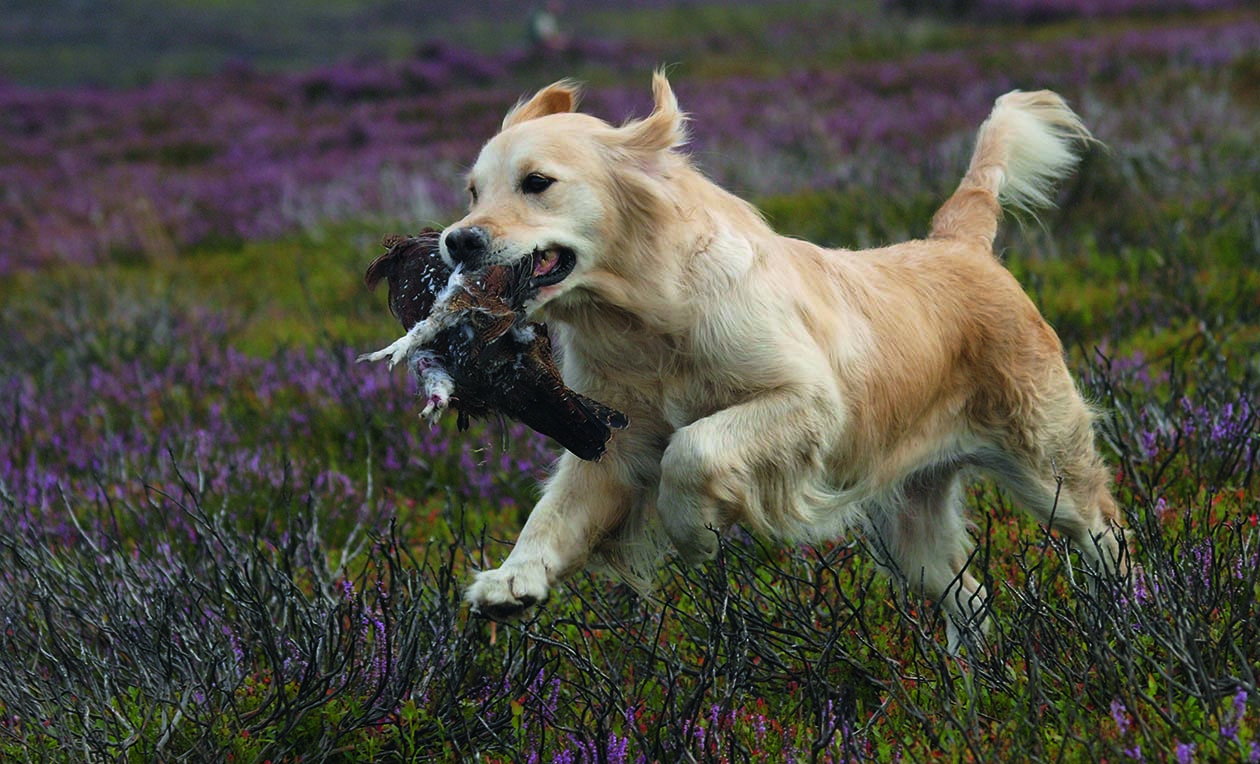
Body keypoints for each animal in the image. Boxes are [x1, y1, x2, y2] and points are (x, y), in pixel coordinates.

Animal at [438, 70, 1128, 650]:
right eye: (471, 191)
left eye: (537, 183)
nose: (457, 240)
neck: (644, 315)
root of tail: (962, 247)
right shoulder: (613, 440)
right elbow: (554, 512)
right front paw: (513, 580)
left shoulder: (807, 404)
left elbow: (693, 447)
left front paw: (694, 528)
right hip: (910, 524)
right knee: (971, 598)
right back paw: (970, 686)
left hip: (1048, 463)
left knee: (1105, 532)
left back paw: (1128, 618)